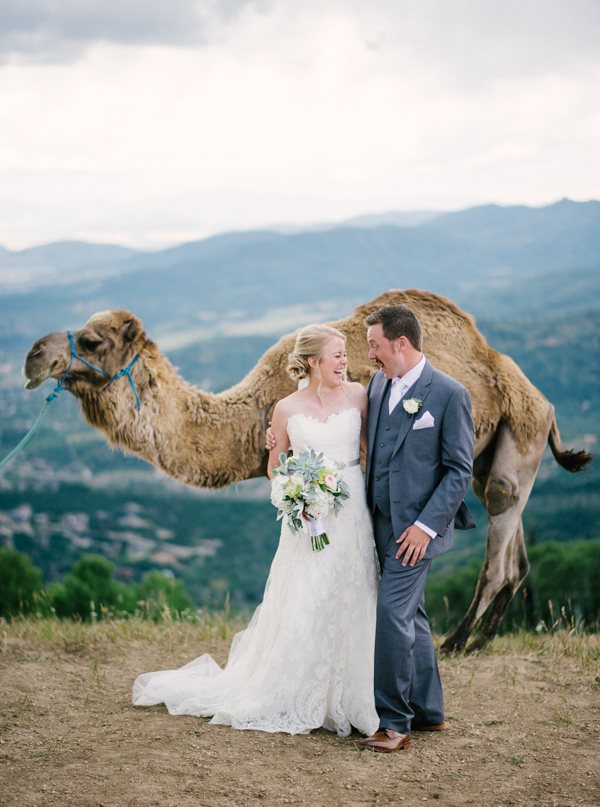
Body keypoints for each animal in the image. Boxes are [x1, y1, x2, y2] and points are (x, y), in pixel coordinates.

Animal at [23, 294, 592, 652]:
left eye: (92, 341)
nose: (32, 356)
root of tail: (542, 399)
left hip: (521, 431)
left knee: (499, 518)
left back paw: (456, 642)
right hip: (495, 450)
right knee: (514, 545)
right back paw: (481, 641)